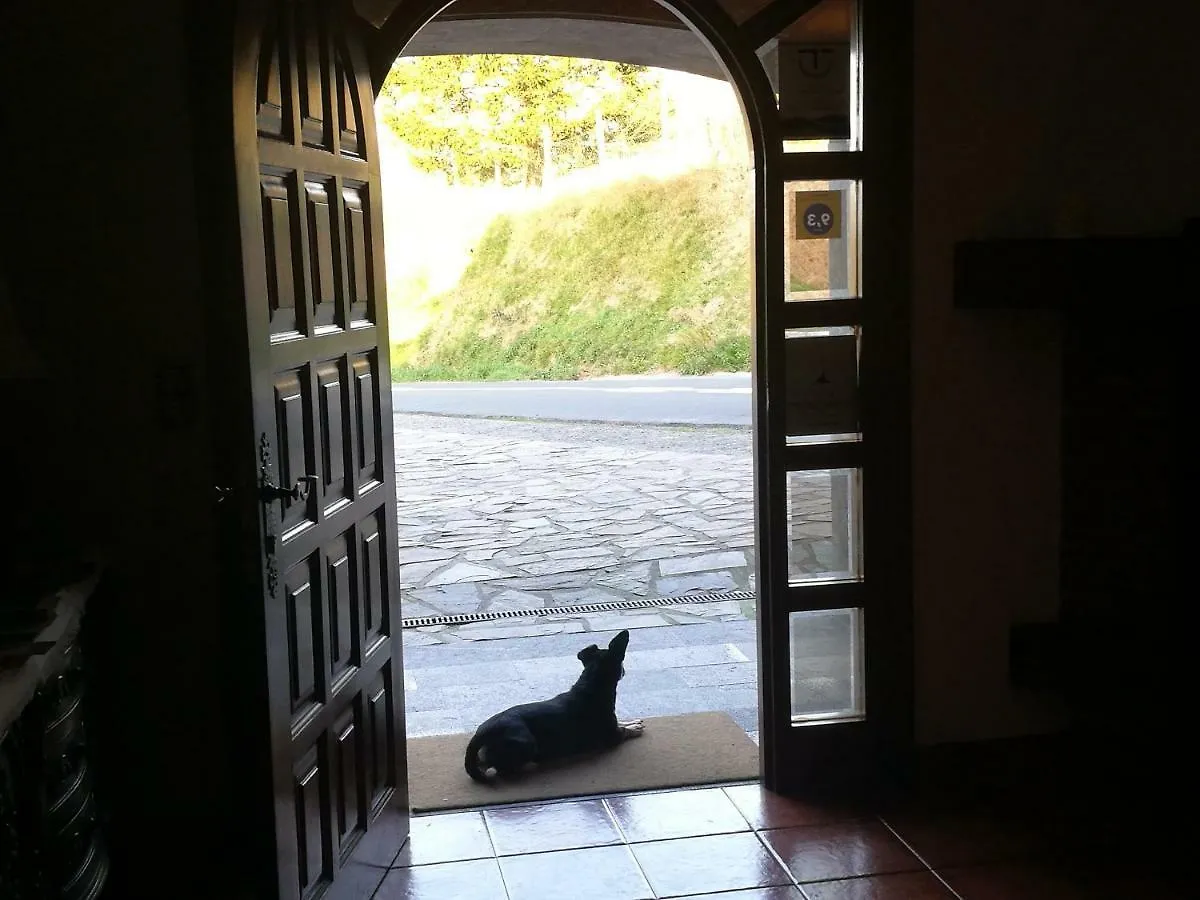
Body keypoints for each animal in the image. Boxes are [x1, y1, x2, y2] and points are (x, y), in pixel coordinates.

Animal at [460, 633, 648, 782]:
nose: (624, 671)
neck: (591, 685)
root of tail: (480, 735)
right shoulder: (611, 736)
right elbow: (624, 731)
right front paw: (634, 728)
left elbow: (621, 722)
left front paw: (633, 722)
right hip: (526, 742)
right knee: (502, 769)